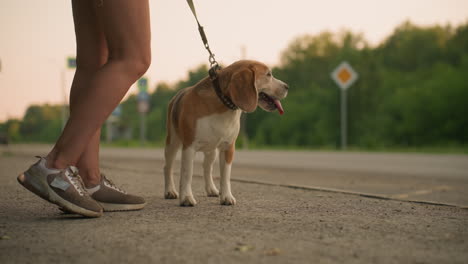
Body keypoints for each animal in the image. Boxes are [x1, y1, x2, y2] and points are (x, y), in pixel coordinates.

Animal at [165, 60, 288, 206]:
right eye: (268, 74)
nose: (287, 87)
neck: (223, 104)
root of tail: (177, 95)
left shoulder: (228, 147)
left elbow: (225, 175)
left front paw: (226, 197)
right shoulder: (189, 146)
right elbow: (187, 173)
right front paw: (187, 198)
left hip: (211, 150)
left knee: (207, 168)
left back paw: (211, 189)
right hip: (172, 143)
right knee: (168, 167)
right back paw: (170, 191)